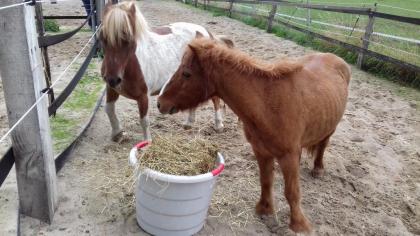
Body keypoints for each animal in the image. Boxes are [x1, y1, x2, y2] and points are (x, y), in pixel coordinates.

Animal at [99, 0, 231, 141]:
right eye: (102, 37)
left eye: (129, 38)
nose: (113, 78)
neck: (130, 65)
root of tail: (207, 33)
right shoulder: (111, 89)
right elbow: (109, 109)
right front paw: (117, 133)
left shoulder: (143, 97)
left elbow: (144, 120)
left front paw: (147, 142)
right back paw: (189, 123)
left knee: (216, 100)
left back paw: (218, 125)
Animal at [158, 37, 352, 233]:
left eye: (186, 74)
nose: (160, 103)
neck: (269, 105)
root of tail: (336, 58)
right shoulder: (261, 151)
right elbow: (265, 181)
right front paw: (264, 210)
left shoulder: (288, 156)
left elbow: (292, 192)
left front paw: (298, 225)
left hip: (329, 129)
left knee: (323, 145)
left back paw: (318, 169)